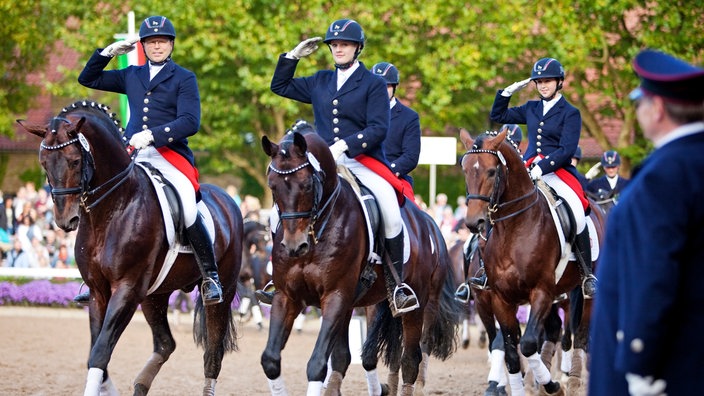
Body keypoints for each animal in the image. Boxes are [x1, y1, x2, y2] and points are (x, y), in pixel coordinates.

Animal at [21, 100, 245, 394]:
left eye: (75, 160)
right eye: (43, 163)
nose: (65, 220)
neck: (111, 210)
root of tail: (226, 199)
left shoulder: (127, 290)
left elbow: (100, 351)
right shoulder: (99, 292)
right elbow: (96, 351)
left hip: (222, 293)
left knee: (213, 354)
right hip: (155, 295)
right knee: (165, 343)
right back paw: (140, 384)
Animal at [262, 128, 460, 394]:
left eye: (306, 184)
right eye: (272, 186)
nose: (295, 246)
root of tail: (427, 222)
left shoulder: (336, 296)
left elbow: (317, 363)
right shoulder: (288, 296)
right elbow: (272, 360)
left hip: (421, 305)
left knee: (411, 358)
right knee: (364, 356)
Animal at [460, 130, 604, 396]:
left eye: (492, 171)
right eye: (465, 169)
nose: (475, 223)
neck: (514, 229)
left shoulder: (541, 292)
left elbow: (527, 344)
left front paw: (553, 386)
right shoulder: (499, 299)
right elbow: (510, 350)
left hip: (583, 292)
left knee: (579, 333)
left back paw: (574, 381)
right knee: (555, 330)